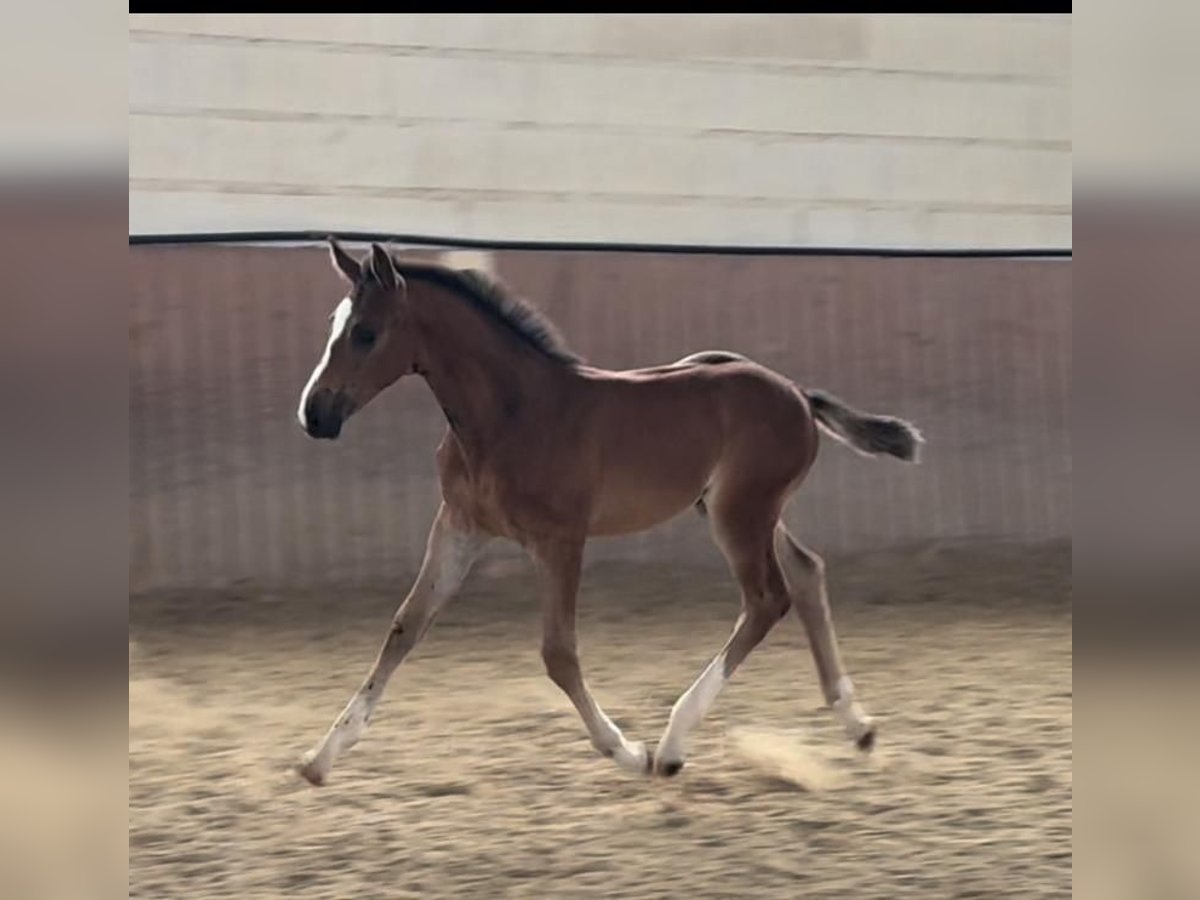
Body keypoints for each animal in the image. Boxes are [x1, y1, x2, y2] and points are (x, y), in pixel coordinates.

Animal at [295, 243, 921, 787]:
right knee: (808, 572)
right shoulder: (460, 527)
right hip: (739, 509)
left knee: (768, 598)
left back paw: (671, 747)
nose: (315, 414)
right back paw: (857, 726)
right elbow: (405, 626)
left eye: (366, 332)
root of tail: (796, 392)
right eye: (332, 323)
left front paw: (626, 750)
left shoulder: (560, 539)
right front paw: (320, 758)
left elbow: (558, 653)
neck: (512, 413)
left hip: (740, 513)